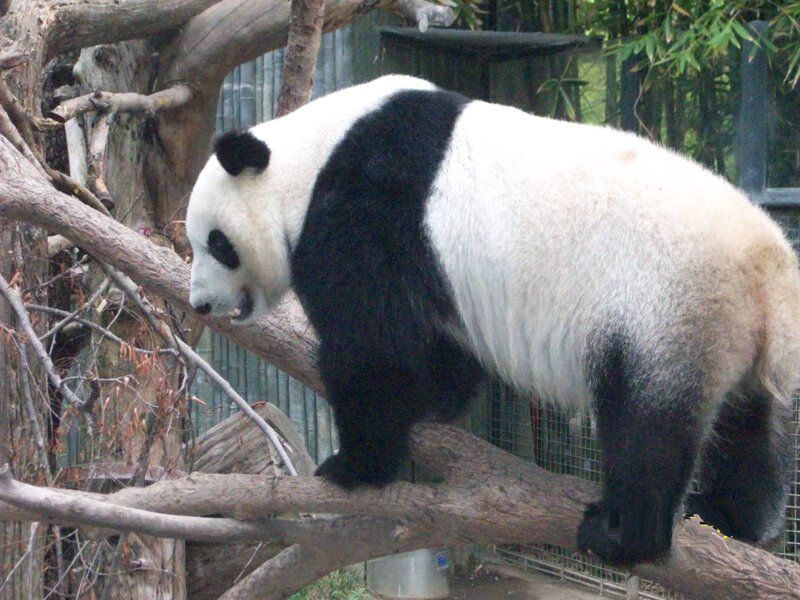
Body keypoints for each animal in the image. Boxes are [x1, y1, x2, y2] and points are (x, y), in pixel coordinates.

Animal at [186, 75, 800, 566]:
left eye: (216, 243)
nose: (199, 305)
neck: (310, 156)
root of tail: (766, 274)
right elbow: (434, 340)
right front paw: (435, 405)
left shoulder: (365, 206)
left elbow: (372, 349)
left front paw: (356, 465)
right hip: (724, 338)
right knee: (744, 427)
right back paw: (734, 520)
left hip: (664, 310)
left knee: (647, 433)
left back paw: (622, 534)